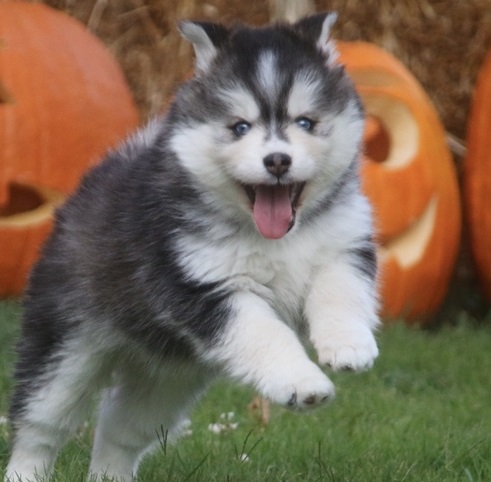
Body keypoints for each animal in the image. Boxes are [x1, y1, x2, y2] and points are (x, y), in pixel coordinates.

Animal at [4, 12, 380, 482]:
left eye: (306, 123)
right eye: (240, 127)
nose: (277, 160)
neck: (275, 238)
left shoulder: (343, 245)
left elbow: (340, 294)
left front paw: (348, 346)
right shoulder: (205, 284)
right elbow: (267, 333)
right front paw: (303, 383)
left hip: (168, 377)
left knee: (120, 429)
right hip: (64, 347)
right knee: (39, 423)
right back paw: (24, 470)